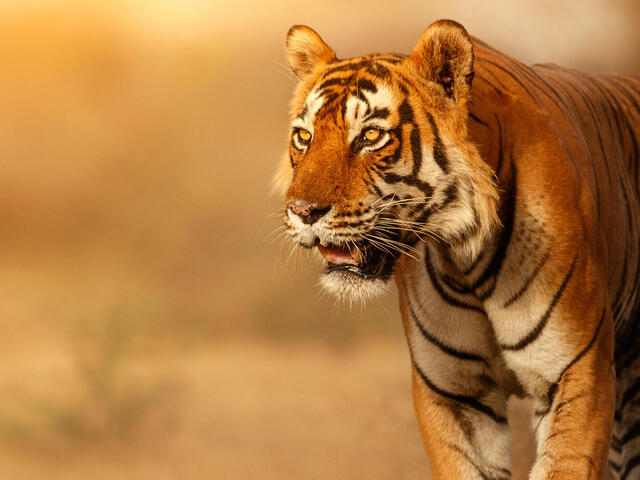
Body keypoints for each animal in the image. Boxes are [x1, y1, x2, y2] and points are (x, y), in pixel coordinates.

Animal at [274, 18, 640, 480]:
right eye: (303, 137)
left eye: (371, 135)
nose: (302, 211)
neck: (467, 258)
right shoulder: (454, 394)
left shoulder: (576, 375)